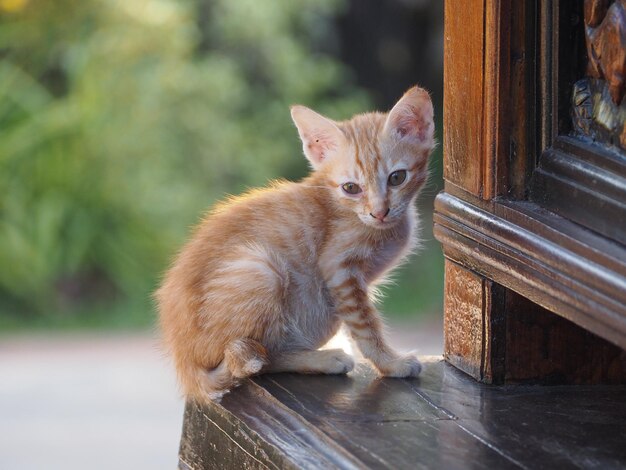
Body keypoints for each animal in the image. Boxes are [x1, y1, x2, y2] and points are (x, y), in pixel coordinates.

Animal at [155, 86, 434, 402]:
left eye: (397, 178)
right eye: (351, 188)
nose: (380, 212)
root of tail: (186, 366)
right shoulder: (339, 269)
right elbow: (365, 325)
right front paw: (390, 363)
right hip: (261, 269)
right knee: (259, 359)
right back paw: (322, 358)